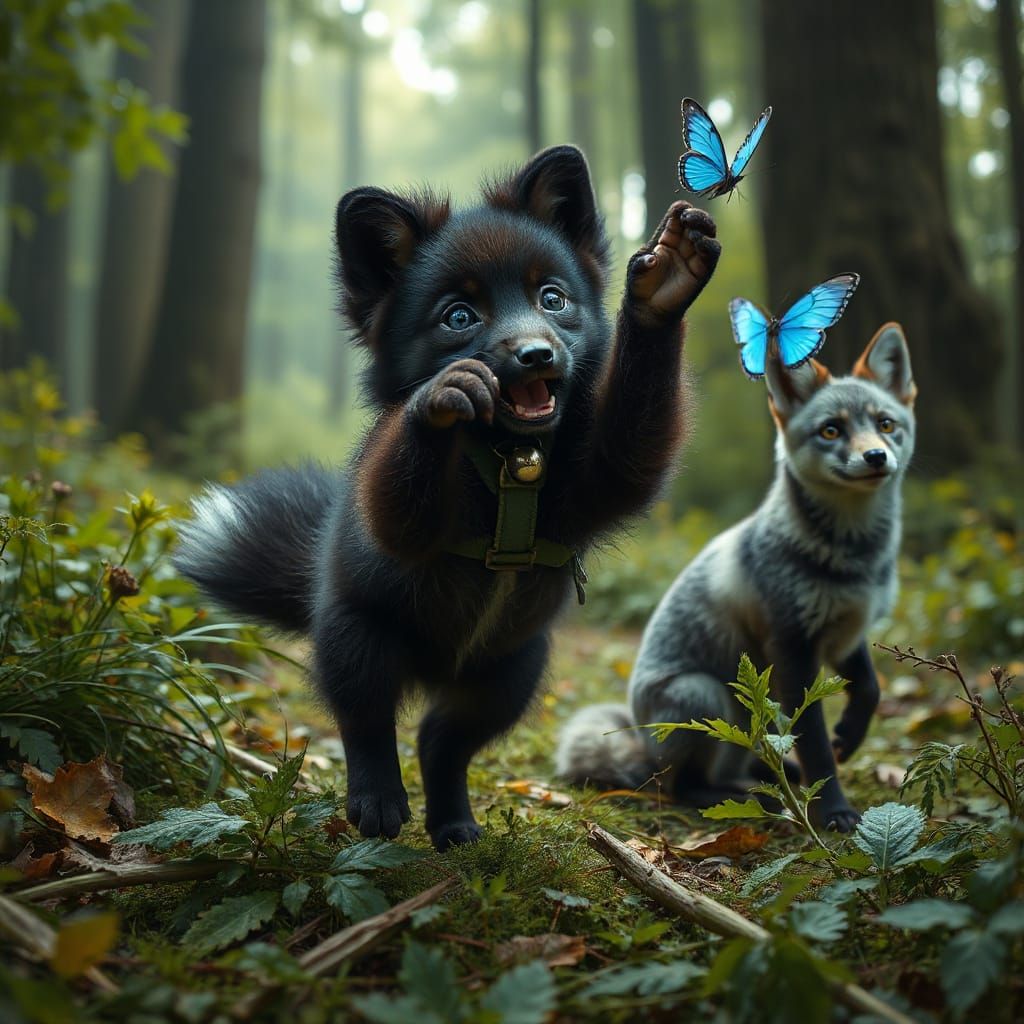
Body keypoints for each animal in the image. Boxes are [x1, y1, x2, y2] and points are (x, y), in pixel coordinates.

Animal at [174, 146, 721, 850]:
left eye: (553, 298)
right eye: (459, 316)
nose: (536, 353)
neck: (512, 463)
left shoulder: (603, 473)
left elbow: (635, 444)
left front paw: (663, 287)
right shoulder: (395, 519)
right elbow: (398, 501)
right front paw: (439, 398)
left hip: (507, 674)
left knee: (442, 741)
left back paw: (454, 821)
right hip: (359, 642)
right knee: (368, 727)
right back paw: (377, 803)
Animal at [556, 324, 917, 831]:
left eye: (886, 424)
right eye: (831, 430)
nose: (875, 456)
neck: (851, 565)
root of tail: (644, 749)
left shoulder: (846, 632)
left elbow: (869, 688)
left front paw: (850, 734)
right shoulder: (793, 647)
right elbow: (817, 746)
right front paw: (834, 811)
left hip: (747, 717)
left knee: (755, 757)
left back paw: (776, 777)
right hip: (704, 697)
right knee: (683, 788)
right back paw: (743, 798)